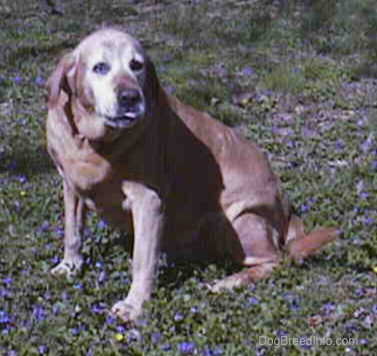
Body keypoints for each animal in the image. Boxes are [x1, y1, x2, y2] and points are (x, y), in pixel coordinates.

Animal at [45, 28, 336, 322]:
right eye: (100, 67)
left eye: (136, 65)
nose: (130, 97)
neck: (91, 144)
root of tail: (288, 212)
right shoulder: (71, 186)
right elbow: (72, 232)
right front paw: (69, 266)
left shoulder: (148, 202)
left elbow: (142, 260)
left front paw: (134, 305)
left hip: (240, 220)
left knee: (275, 260)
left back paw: (228, 282)